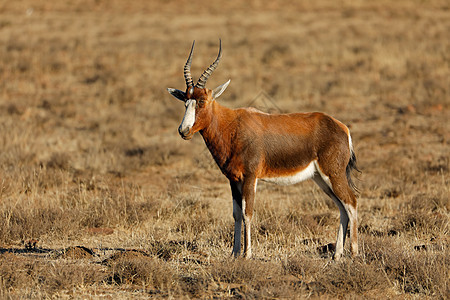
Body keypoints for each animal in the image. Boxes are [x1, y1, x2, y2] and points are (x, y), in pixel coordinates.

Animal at [167, 40, 360, 260]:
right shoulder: (233, 180)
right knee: (342, 207)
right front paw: (234, 253)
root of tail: (342, 127)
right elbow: (236, 214)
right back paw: (337, 255)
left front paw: (247, 254)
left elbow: (247, 213)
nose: (183, 130)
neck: (232, 125)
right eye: (185, 101)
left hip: (333, 174)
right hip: (321, 178)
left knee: (351, 203)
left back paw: (354, 254)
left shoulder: (250, 177)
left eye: (201, 101)